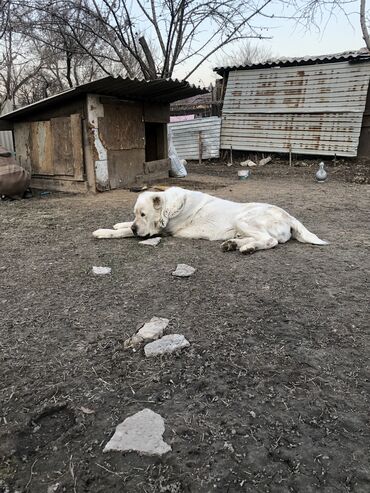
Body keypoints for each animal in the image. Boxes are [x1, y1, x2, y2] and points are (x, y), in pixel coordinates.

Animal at [92, 185, 326, 252]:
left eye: (143, 214)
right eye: (135, 214)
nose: (135, 228)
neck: (170, 208)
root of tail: (290, 216)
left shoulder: (160, 231)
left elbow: (121, 233)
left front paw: (103, 231)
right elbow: (123, 225)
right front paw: (121, 223)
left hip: (244, 219)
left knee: (270, 241)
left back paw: (246, 248)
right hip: (242, 225)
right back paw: (233, 244)